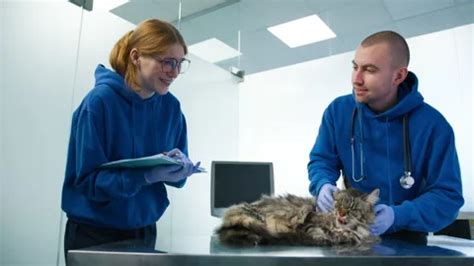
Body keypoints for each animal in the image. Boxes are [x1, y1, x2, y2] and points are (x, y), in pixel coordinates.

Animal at [217, 188, 380, 246]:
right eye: (338, 205)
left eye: (352, 209)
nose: (340, 213)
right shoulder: (309, 221)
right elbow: (318, 232)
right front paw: (325, 238)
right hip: (253, 219)